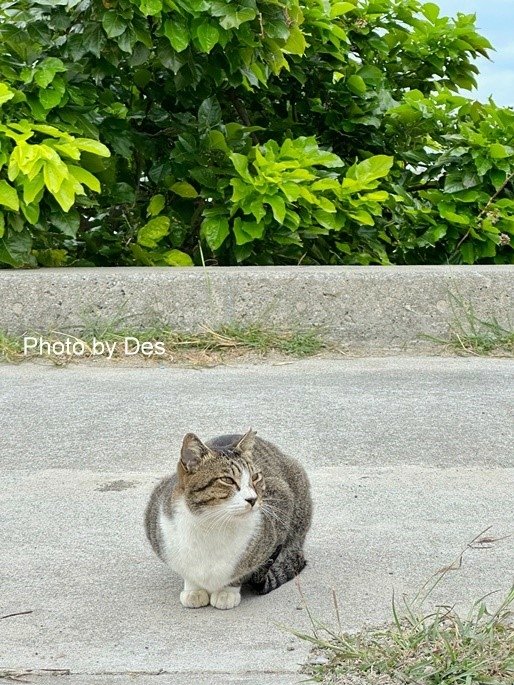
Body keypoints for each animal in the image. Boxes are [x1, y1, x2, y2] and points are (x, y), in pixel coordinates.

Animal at [144, 428, 312, 608]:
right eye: (227, 480)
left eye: (255, 477)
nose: (253, 499)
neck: (211, 524)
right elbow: (187, 571)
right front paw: (194, 589)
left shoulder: (280, 498)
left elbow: (241, 570)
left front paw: (226, 592)